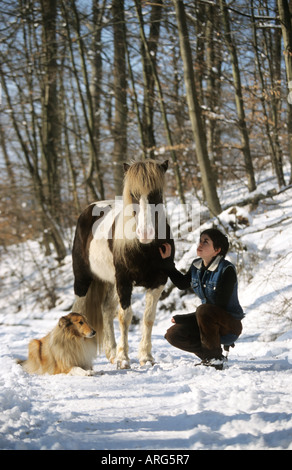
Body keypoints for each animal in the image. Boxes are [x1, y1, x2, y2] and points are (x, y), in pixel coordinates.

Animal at [72, 160, 175, 370]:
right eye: (133, 194)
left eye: (157, 193)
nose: (145, 233)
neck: (144, 248)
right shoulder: (125, 282)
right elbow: (125, 317)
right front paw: (123, 359)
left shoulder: (158, 282)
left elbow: (148, 318)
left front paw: (146, 357)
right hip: (83, 280)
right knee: (80, 311)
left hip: (110, 283)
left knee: (106, 310)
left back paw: (111, 353)